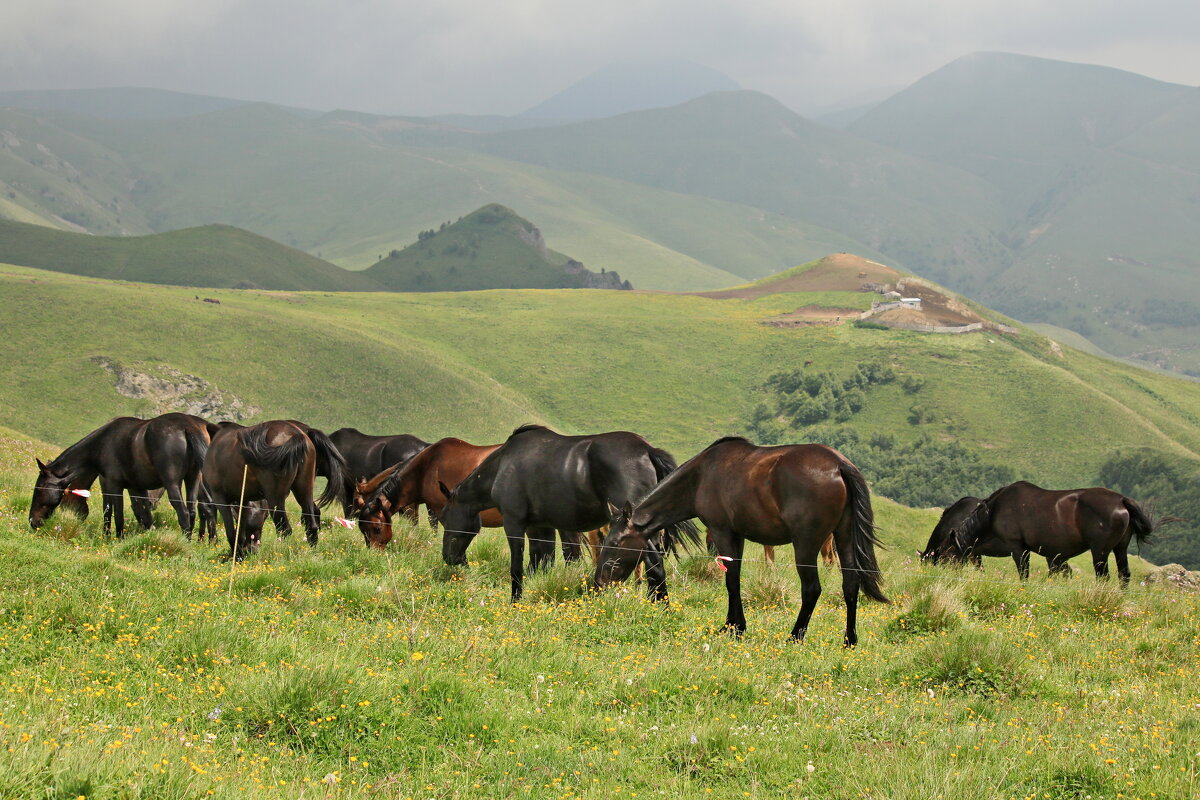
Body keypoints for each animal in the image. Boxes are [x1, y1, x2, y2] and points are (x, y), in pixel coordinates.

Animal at [29, 412, 213, 537]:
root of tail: (188, 426)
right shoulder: (138, 488)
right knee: (192, 511)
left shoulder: (112, 484)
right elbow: (145, 515)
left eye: (39, 489)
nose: (32, 521)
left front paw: (113, 537)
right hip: (192, 479)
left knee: (183, 512)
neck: (101, 444)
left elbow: (114, 512)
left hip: (172, 483)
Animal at [202, 422, 348, 561]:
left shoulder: (220, 499)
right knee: (311, 524)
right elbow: (240, 531)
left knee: (284, 529)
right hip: (304, 491)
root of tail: (296, 434)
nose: (251, 551)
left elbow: (232, 533)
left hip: (275, 498)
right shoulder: (244, 500)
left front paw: (237, 556)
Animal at [441, 424, 700, 599]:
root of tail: (647, 450)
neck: (503, 464)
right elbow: (540, 562)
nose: (449, 558)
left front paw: (515, 601)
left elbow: (517, 567)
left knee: (653, 564)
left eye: (445, 518)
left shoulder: (514, 524)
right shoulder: (541, 526)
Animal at [595, 438, 888, 652]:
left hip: (806, 543)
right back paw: (849, 641)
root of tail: (839, 465)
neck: (700, 476)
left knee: (812, 589)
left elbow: (731, 581)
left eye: (616, 542)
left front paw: (734, 629)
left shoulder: (722, 532)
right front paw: (732, 626)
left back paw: (794, 637)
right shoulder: (738, 536)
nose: (599, 582)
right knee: (850, 585)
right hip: (844, 536)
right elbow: (733, 578)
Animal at [940, 479, 1156, 585]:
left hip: (1100, 551)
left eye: (946, 556)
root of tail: (1122, 501)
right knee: (1124, 575)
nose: (946, 580)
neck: (994, 511)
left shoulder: (1018, 548)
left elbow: (1024, 574)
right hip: (1120, 548)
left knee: (1103, 577)